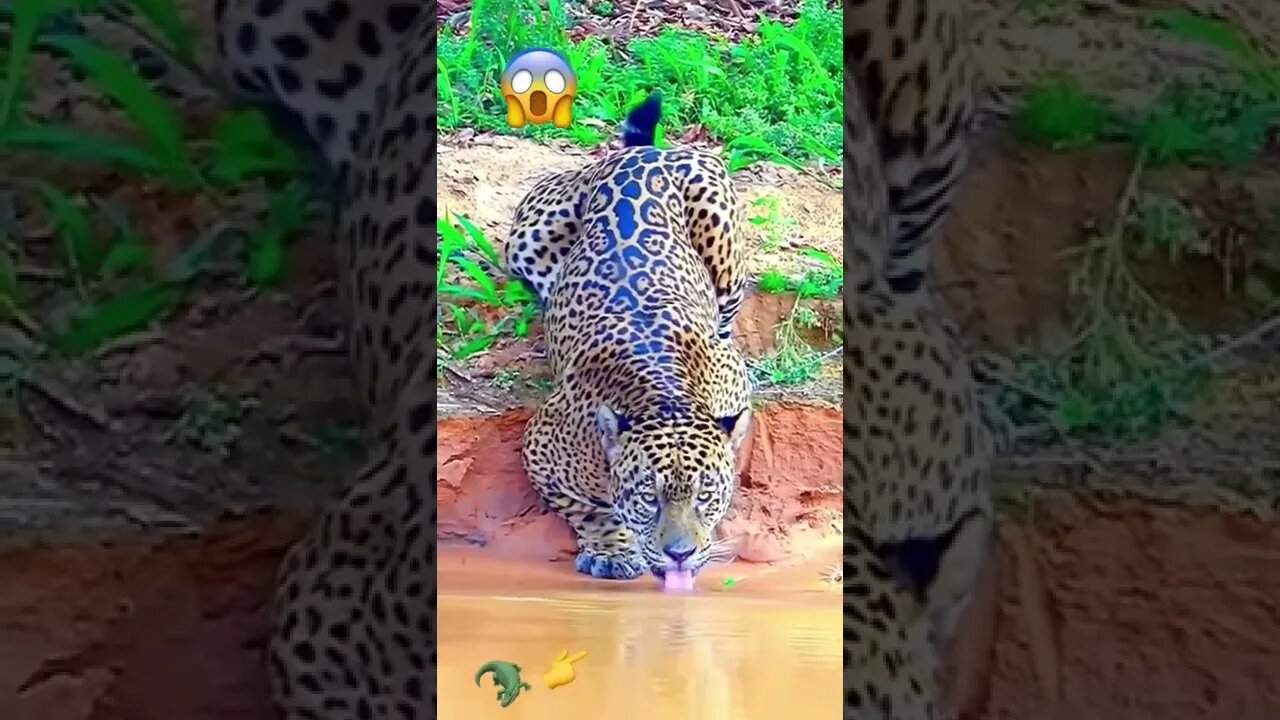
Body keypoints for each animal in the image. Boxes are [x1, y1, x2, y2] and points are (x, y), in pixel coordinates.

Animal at [502, 93, 753, 584]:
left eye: (704, 495)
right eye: (648, 497)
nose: (679, 553)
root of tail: (642, 154)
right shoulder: (539, 447)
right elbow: (588, 510)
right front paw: (612, 550)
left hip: (724, 248)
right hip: (524, 242)